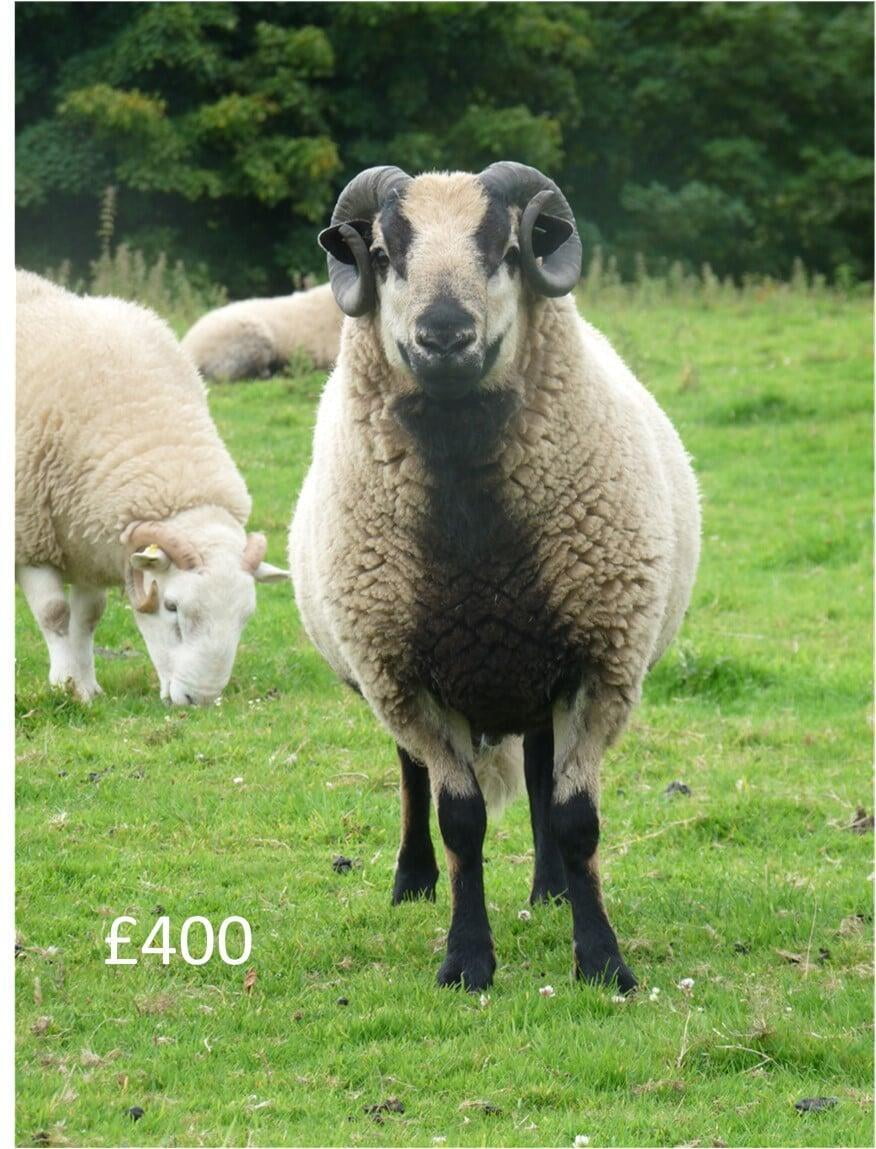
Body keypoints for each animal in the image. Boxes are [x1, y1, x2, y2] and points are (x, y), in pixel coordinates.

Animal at [16, 270, 289, 706]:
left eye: (246, 617)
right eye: (173, 607)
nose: (200, 700)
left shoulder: (90, 543)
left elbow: (88, 618)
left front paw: (88, 686)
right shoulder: (30, 538)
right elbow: (55, 614)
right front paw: (65, 686)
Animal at [289, 163, 700, 994]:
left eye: (509, 250)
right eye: (383, 255)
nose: (445, 334)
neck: (476, 550)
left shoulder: (599, 665)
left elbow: (576, 819)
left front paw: (602, 958)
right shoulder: (407, 679)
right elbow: (460, 819)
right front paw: (466, 959)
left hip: (534, 670)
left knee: (541, 771)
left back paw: (549, 888)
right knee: (410, 776)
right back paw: (412, 880)